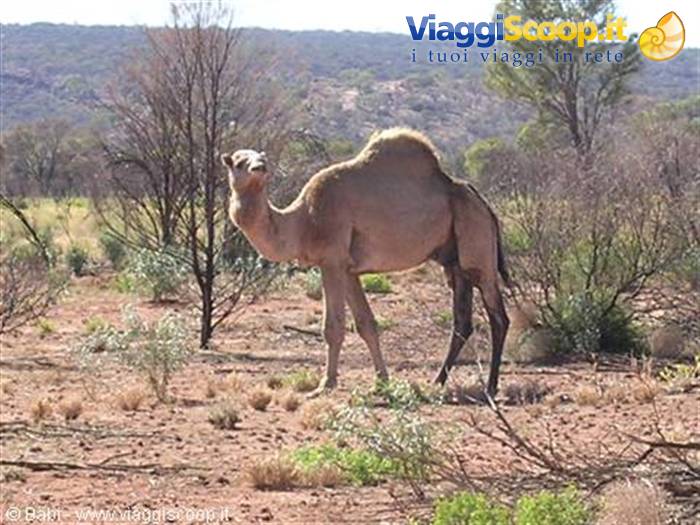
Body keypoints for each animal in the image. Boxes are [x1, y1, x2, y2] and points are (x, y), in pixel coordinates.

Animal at [221, 128, 510, 396]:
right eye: (238, 162)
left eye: (262, 158)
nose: (260, 167)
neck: (303, 221)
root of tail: (484, 204)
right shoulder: (348, 269)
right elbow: (366, 324)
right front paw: (381, 381)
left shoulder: (331, 261)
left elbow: (333, 326)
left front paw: (325, 384)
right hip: (455, 263)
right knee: (462, 322)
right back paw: (437, 381)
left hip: (478, 248)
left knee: (499, 317)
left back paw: (491, 386)